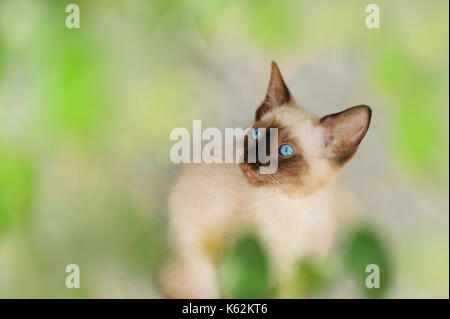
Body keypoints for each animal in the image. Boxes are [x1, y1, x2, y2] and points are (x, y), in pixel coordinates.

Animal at [160, 63, 370, 300]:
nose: (248, 162)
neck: (293, 204)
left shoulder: (300, 277)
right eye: (256, 134)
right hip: (201, 265)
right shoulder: (245, 266)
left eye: (285, 150)